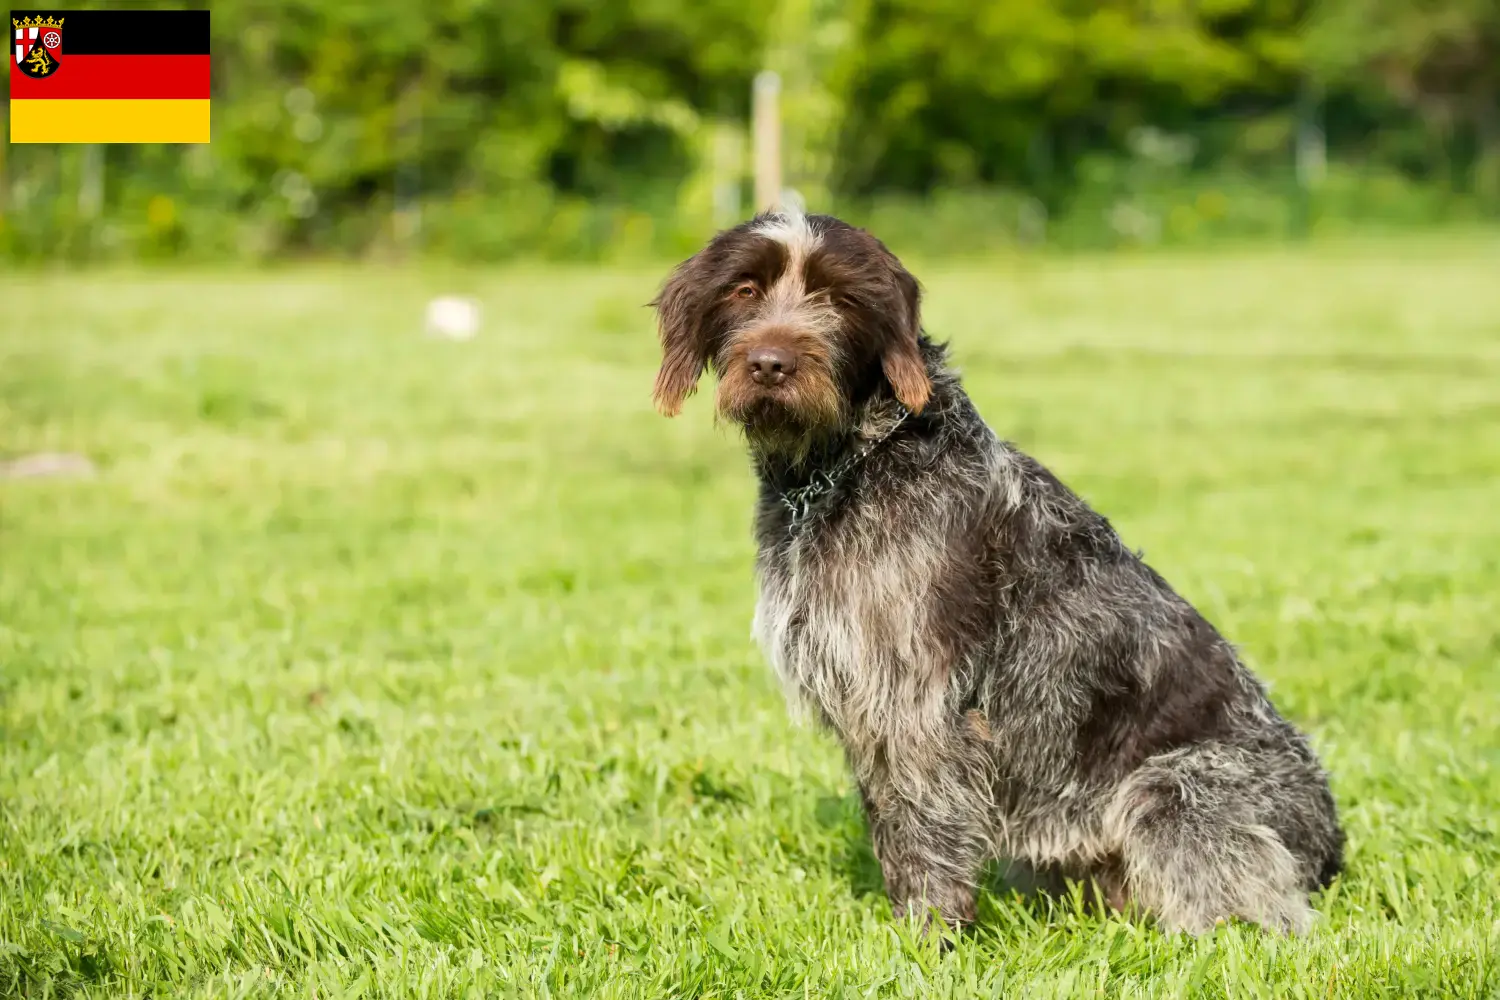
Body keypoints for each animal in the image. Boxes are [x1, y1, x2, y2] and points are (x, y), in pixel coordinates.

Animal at [651, 212, 1344, 941]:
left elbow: (924, 827)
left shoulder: (919, 703)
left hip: (1174, 792)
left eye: (839, 299)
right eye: (744, 290)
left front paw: (929, 937)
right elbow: (892, 824)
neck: (842, 469)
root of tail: (1331, 842)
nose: (770, 364)